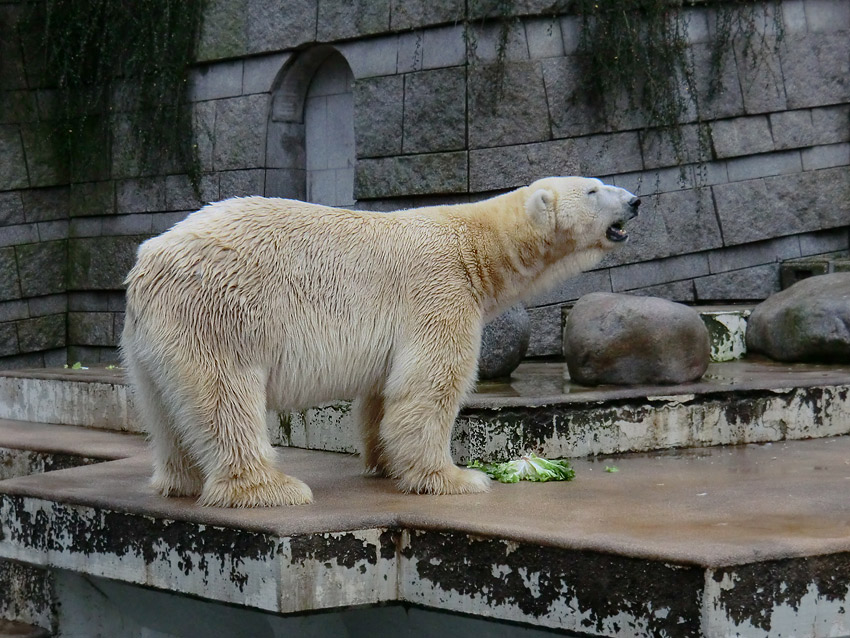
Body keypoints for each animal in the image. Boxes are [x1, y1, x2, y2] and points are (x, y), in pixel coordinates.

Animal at [119, 178, 636, 508]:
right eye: (594, 189)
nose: (634, 200)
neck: (474, 243)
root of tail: (148, 263)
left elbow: (382, 394)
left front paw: (386, 464)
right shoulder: (439, 289)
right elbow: (429, 387)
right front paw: (454, 477)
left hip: (149, 342)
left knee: (163, 408)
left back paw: (180, 481)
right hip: (219, 315)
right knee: (225, 398)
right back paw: (271, 489)